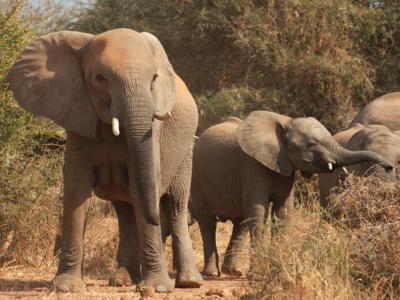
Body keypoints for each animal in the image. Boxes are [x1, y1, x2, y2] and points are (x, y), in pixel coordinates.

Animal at [8, 28, 203, 292]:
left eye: (154, 78)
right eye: (100, 78)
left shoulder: (153, 132)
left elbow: (142, 188)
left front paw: (157, 289)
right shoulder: (78, 118)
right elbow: (76, 189)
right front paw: (66, 287)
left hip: (186, 152)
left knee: (175, 204)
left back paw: (189, 282)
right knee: (126, 210)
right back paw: (121, 280)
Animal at [191, 110, 394, 276]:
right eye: (311, 144)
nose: (390, 167)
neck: (286, 121)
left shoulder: (284, 166)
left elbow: (283, 211)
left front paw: (276, 270)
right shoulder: (251, 166)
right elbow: (257, 211)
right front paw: (258, 274)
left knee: (240, 224)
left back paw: (233, 272)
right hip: (196, 178)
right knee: (207, 222)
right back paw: (212, 273)